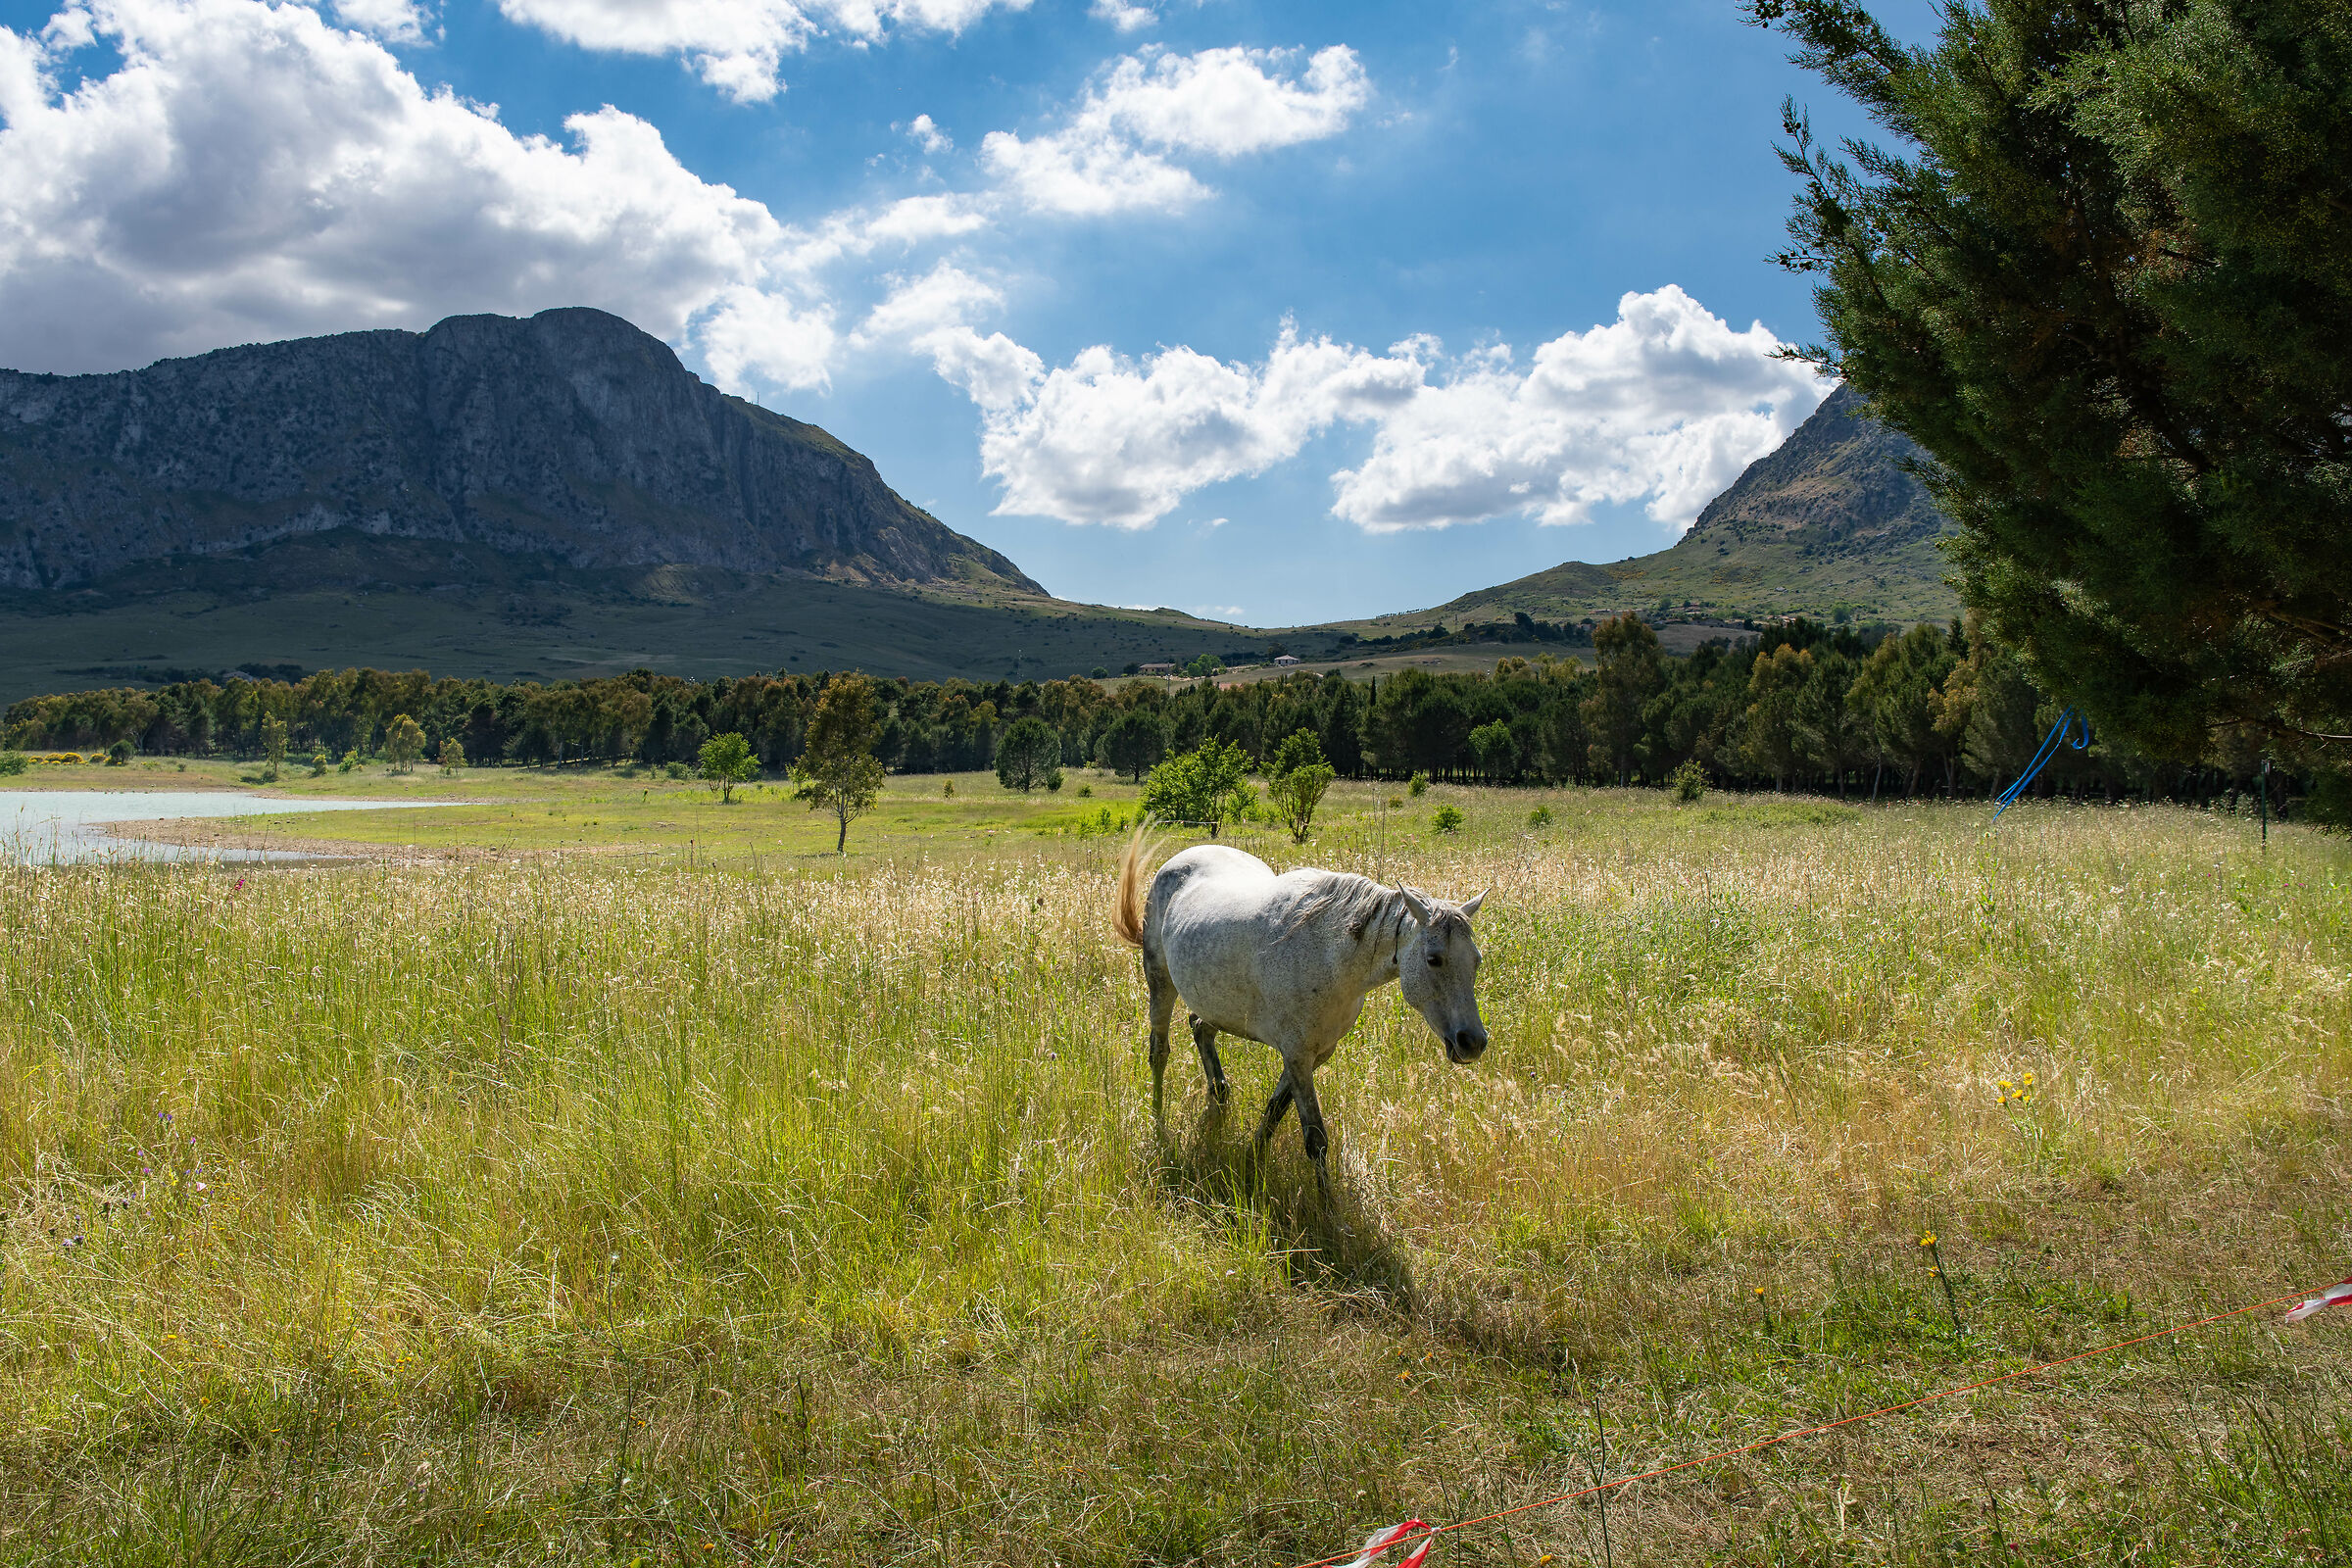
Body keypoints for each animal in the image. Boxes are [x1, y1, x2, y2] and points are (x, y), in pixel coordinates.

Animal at [1111, 830, 1490, 1199]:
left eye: (1477, 961)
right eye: (1433, 959)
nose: (1472, 1042)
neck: (1330, 955)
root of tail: (1178, 860)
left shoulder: (1315, 1053)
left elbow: (1275, 1109)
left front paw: (1251, 1162)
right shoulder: (1296, 1053)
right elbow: (1315, 1138)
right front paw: (1328, 1211)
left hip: (1213, 1003)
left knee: (1200, 1028)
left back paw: (1218, 1096)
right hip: (1160, 982)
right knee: (1159, 1052)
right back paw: (1158, 1122)